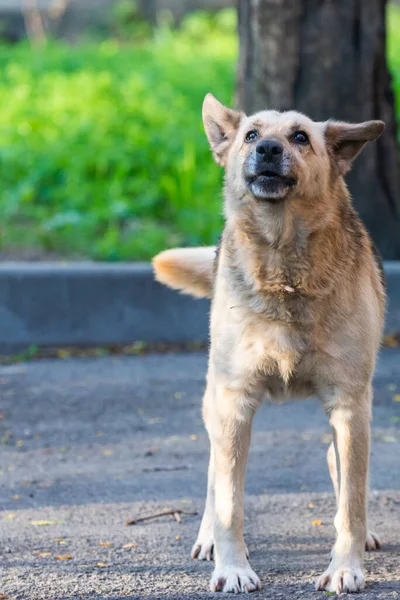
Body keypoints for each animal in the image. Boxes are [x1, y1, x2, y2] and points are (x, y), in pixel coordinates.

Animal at [152, 95, 384, 596]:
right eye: (252, 135)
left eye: (300, 136)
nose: (269, 150)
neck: (284, 265)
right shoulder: (235, 402)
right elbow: (229, 503)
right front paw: (232, 567)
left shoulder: (350, 405)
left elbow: (352, 503)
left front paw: (346, 566)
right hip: (215, 401)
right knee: (214, 472)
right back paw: (207, 538)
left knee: (342, 475)